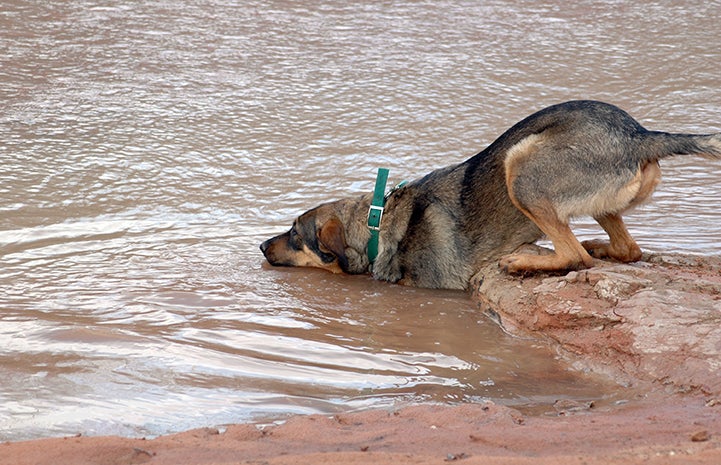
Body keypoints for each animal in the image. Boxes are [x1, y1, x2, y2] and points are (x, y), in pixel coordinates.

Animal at [258, 100, 720, 288]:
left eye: (296, 235)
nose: (261, 245)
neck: (377, 225)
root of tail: (639, 135)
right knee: (628, 250)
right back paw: (599, 245)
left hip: (521, 167)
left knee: (575, 256)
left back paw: (525, 261)